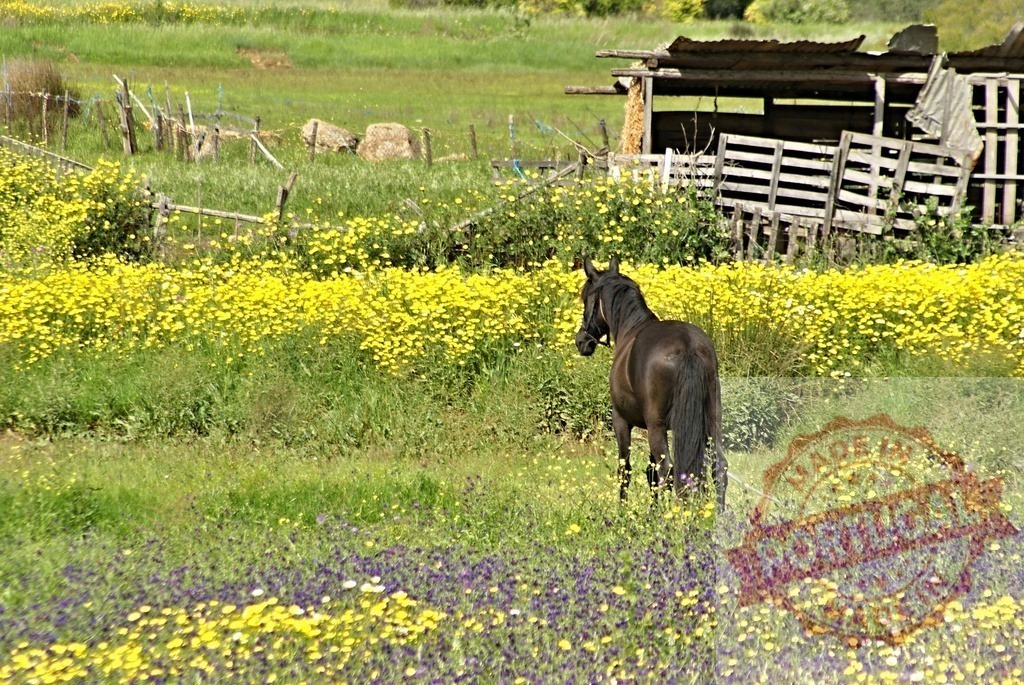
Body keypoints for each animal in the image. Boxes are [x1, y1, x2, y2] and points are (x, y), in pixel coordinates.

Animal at [574, 257, 727, 510]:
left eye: (586, 299)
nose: (581, 341)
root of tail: (688, 346)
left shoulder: (622, 420)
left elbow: (625, 469)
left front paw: (624, 511)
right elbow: (650, 473)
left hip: (657, 426)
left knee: (669, 471)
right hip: (711, 421)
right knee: (718, 467)